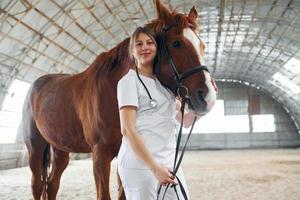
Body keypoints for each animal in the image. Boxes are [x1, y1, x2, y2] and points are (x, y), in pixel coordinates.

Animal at [22, 0, 217, 199]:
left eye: (202, 46)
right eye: (176, 43)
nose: (208, 97)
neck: (111, 91)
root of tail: (36, 85)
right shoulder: (100, 155)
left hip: (61, 149)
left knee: (52, 184)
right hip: (35, 148)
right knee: (37, 185)